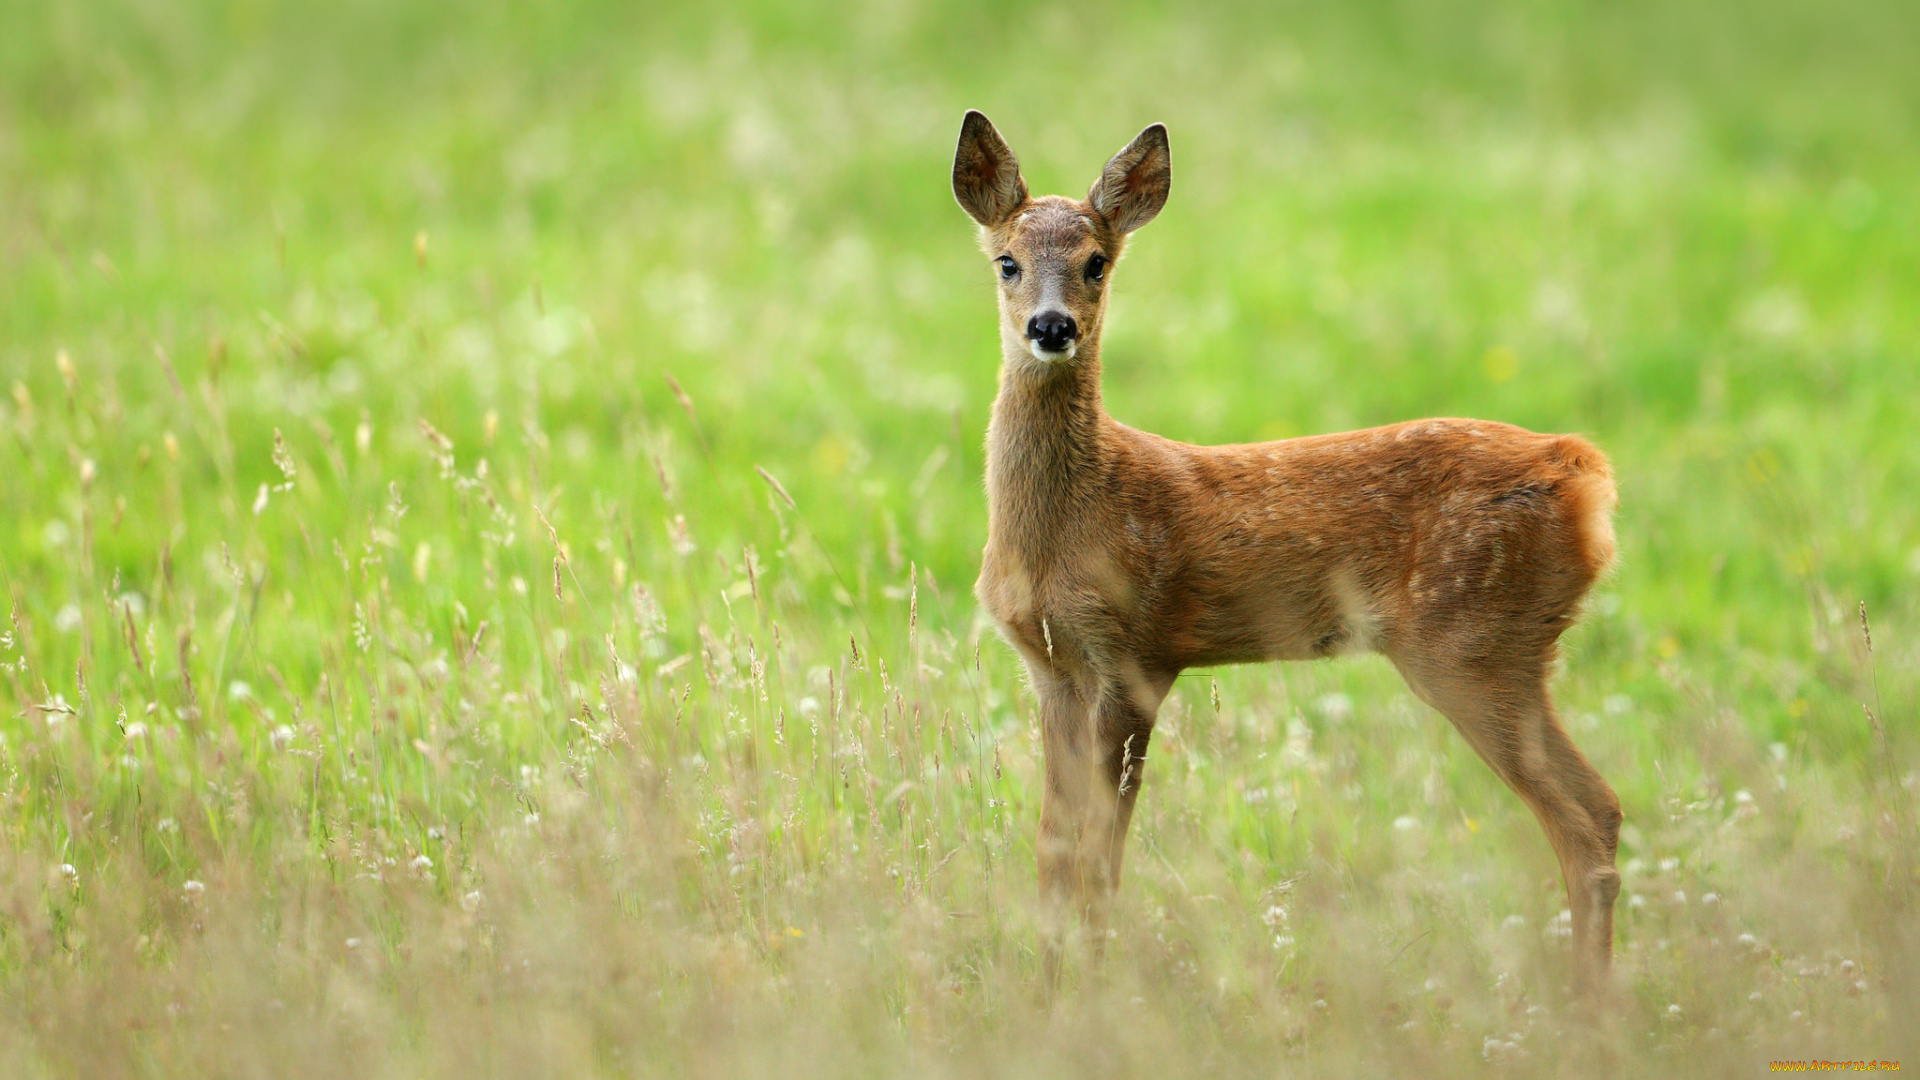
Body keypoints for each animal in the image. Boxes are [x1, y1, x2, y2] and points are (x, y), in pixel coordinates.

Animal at [952, 111, 1628, 991]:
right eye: (1008, 261)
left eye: (1096, 262)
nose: (1052, 327)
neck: (1067, 527)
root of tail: (1586, 474)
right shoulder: (1054, 667)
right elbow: (1054, 851)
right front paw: (1047, 987)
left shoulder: (1136, 652)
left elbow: (1100, 859)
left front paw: (1088, 996)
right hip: (1504, 648)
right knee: (1604, 809)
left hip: (1472, 643)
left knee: (1581, 821)